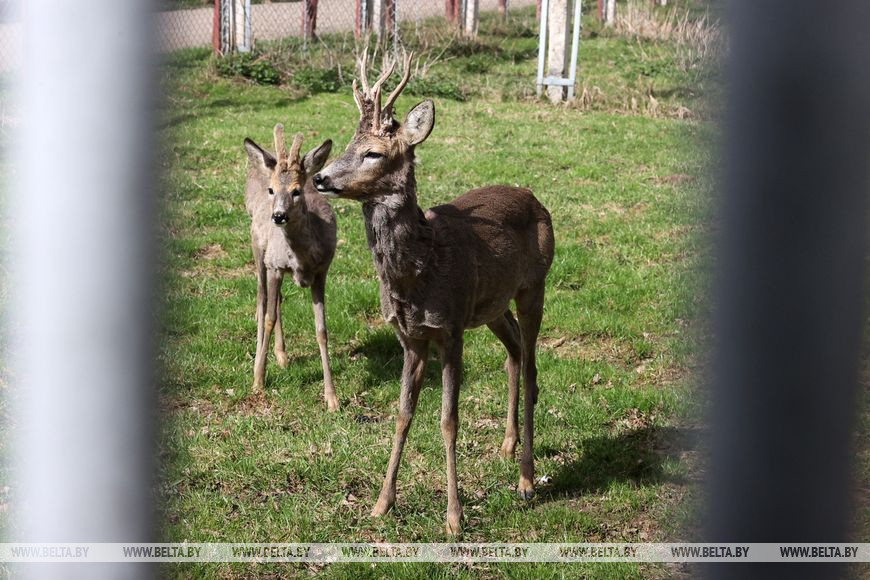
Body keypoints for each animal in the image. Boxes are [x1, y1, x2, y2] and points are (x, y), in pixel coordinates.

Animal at [243, 124, 339, 411]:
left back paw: (282, 354)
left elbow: (321, 330)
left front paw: (332, 398)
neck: (301, 259)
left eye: (297, 191)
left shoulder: (321, 272)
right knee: (263, 300)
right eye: (272, 190)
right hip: (258, 250)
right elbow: (268, 317)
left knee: (278, 300)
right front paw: (258, 381)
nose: (278, 216)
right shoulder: (274, 265)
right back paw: (260, 360)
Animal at [313, 53, 555, 534]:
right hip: (491, 305)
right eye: (347, 144)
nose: (322, 178)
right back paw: (506, 444)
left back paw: (526, 479)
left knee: (533, 365)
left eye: (374, 152)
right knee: (515, 352)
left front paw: (454, 517)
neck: (417, 271)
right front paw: (381, 503)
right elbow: (403, 414)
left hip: (533, 286)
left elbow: (448, 420)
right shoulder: (411, 336)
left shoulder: (450, 330)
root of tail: (534, 197)